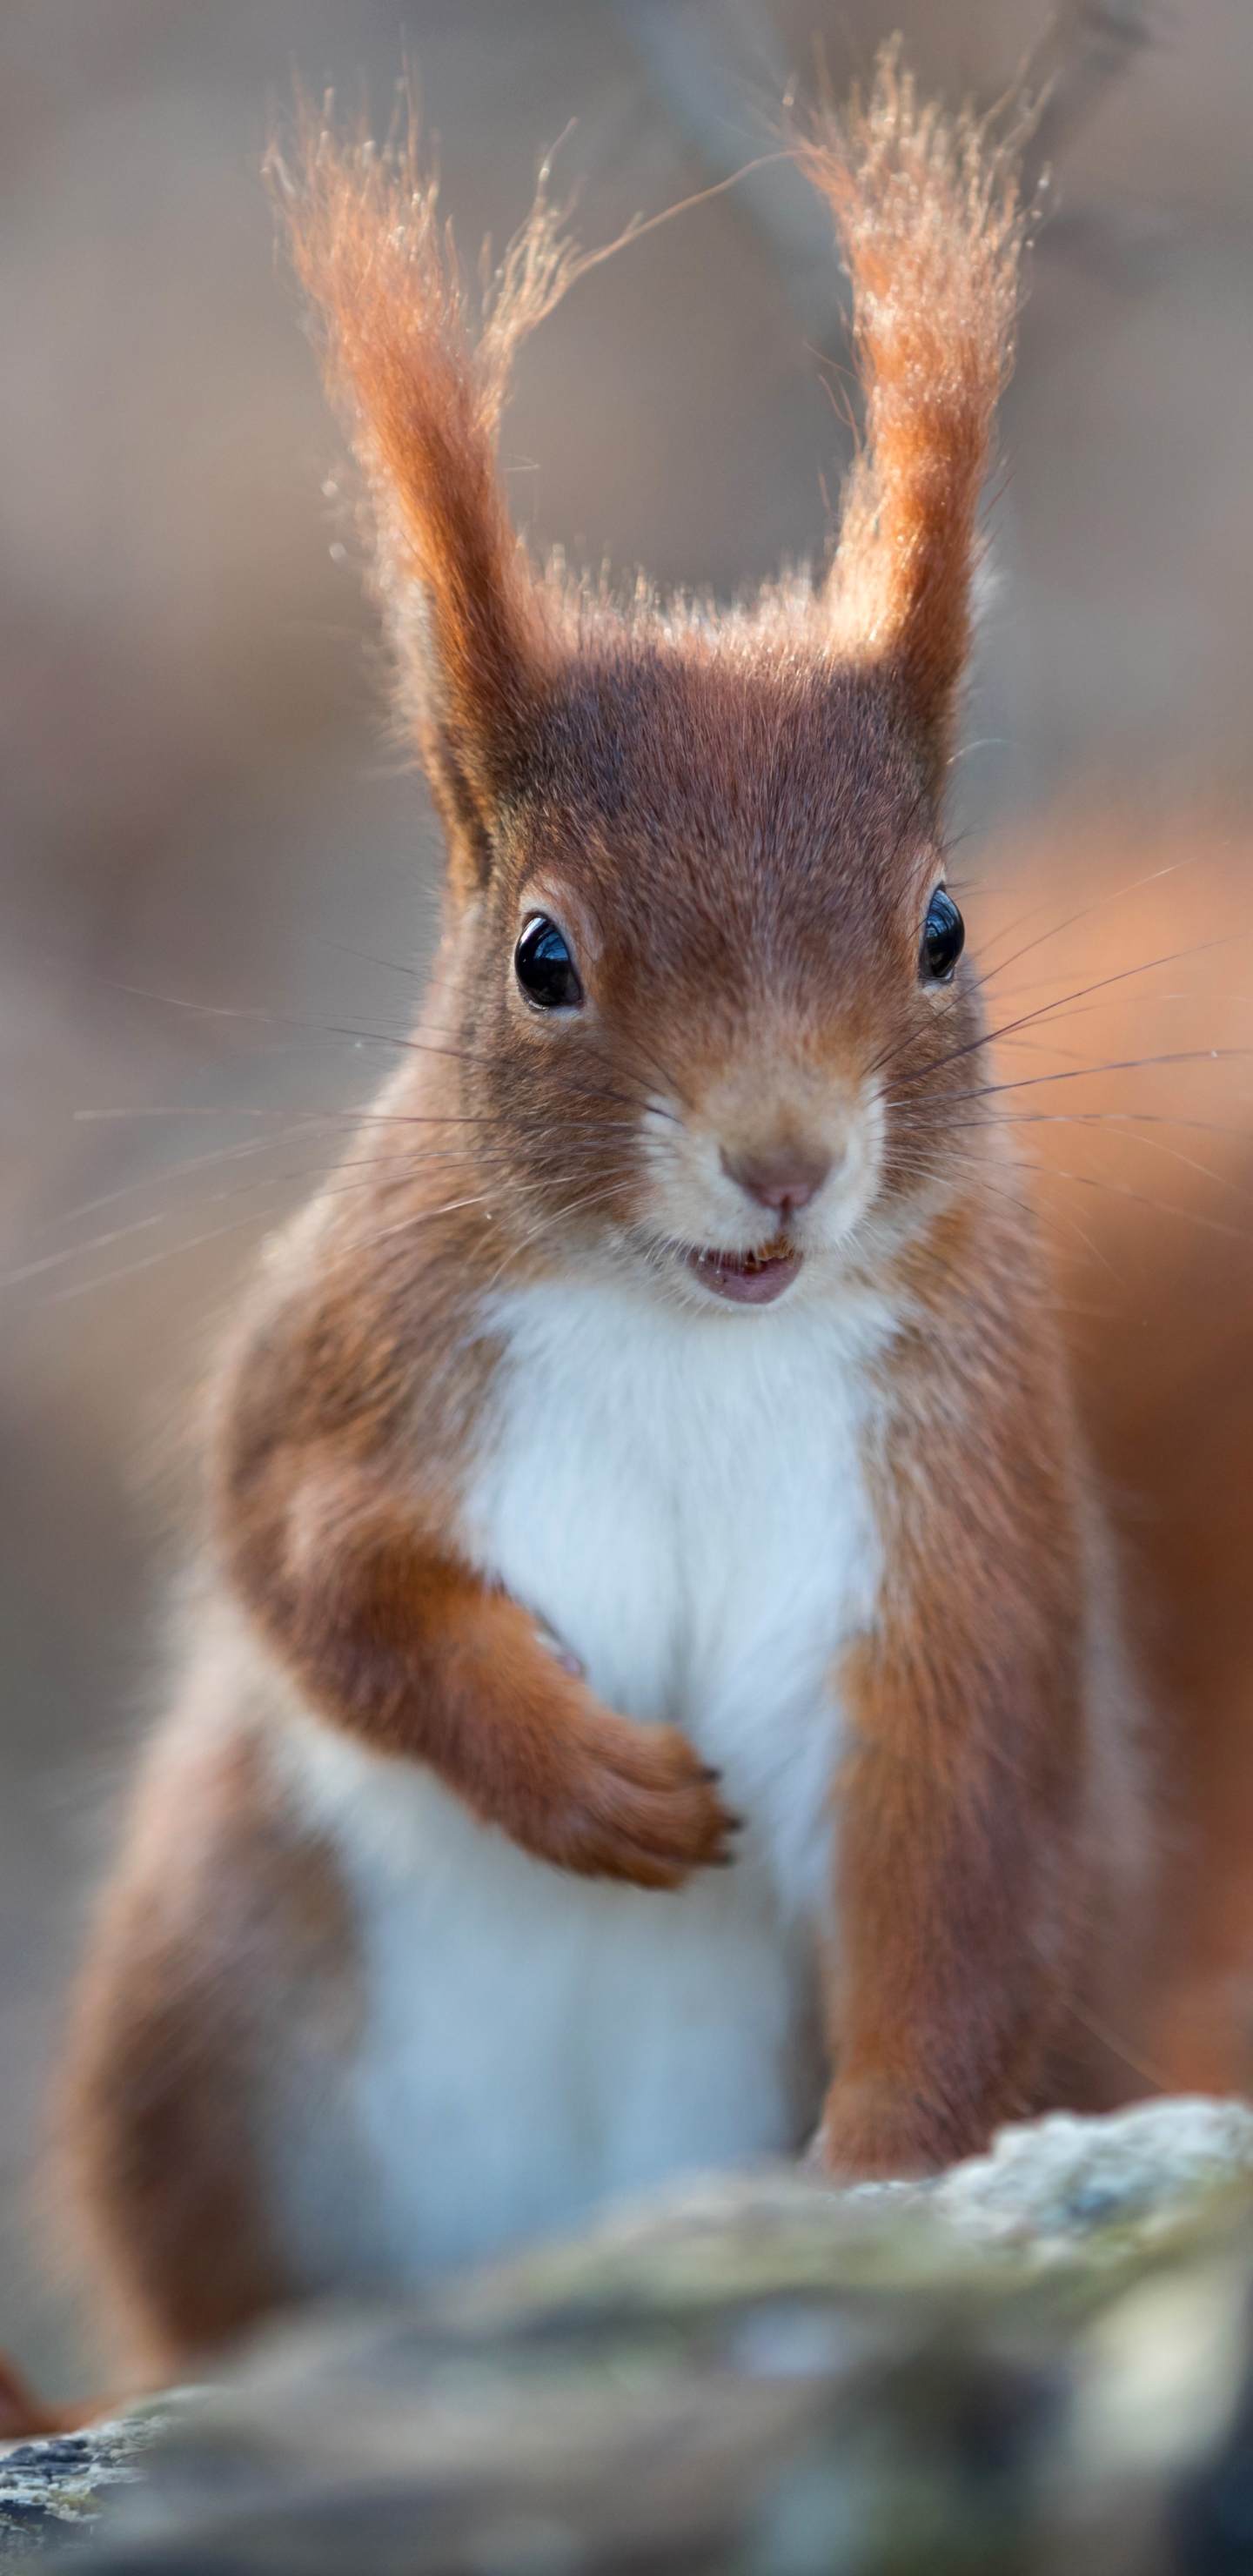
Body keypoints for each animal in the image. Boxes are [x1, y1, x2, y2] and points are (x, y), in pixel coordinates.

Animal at [49, 60, 1160, 2380]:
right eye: (542, 956)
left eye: (941, 926)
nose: (781, 1157)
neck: (695, 1335)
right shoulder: (345, 1357)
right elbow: (311, 1566)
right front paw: (578, 1779)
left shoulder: (957, 1547)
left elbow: (960, 1883)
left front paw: (869, 2204)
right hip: (206, 2016)